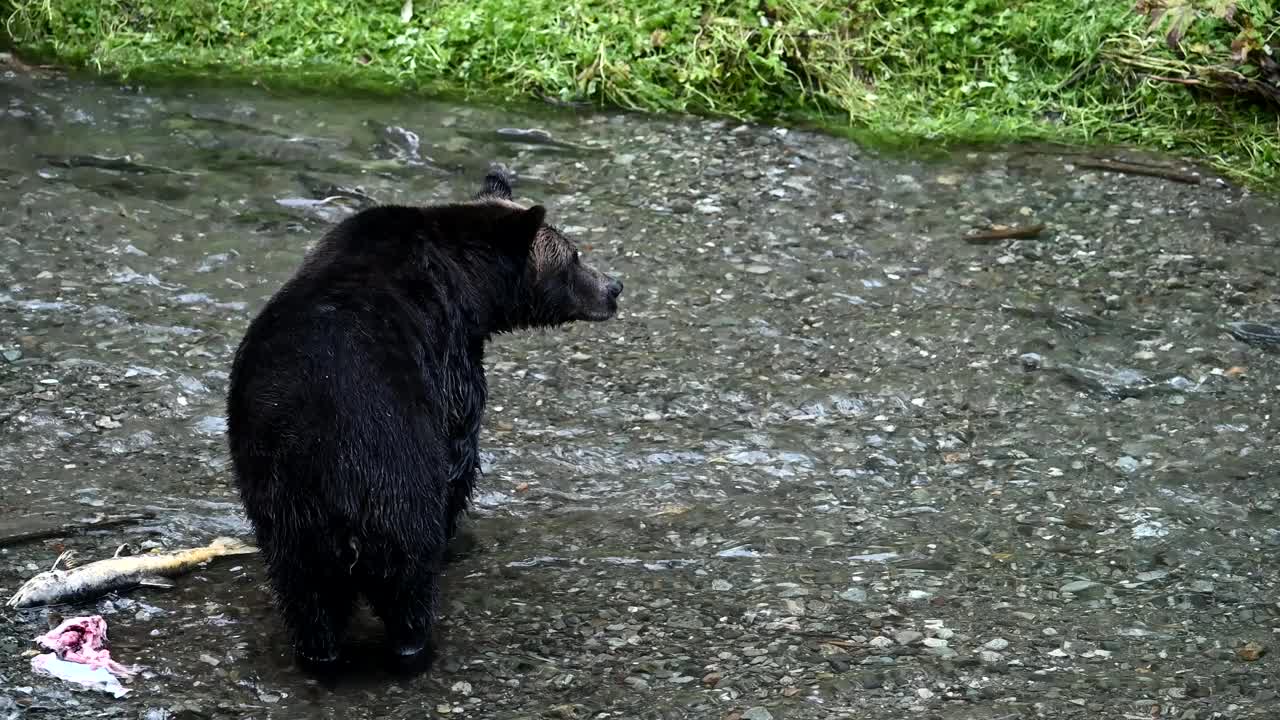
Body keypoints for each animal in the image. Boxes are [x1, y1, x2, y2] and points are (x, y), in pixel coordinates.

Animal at [225, 165, 624, 671]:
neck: (468, 284)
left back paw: (319, 655)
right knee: (407, 582)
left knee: (306, 595)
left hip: (282, 500)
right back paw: (416, 644)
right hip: (395, 476)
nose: (613, 287)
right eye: (573, 256)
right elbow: (462, 448)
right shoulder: (451, 359)